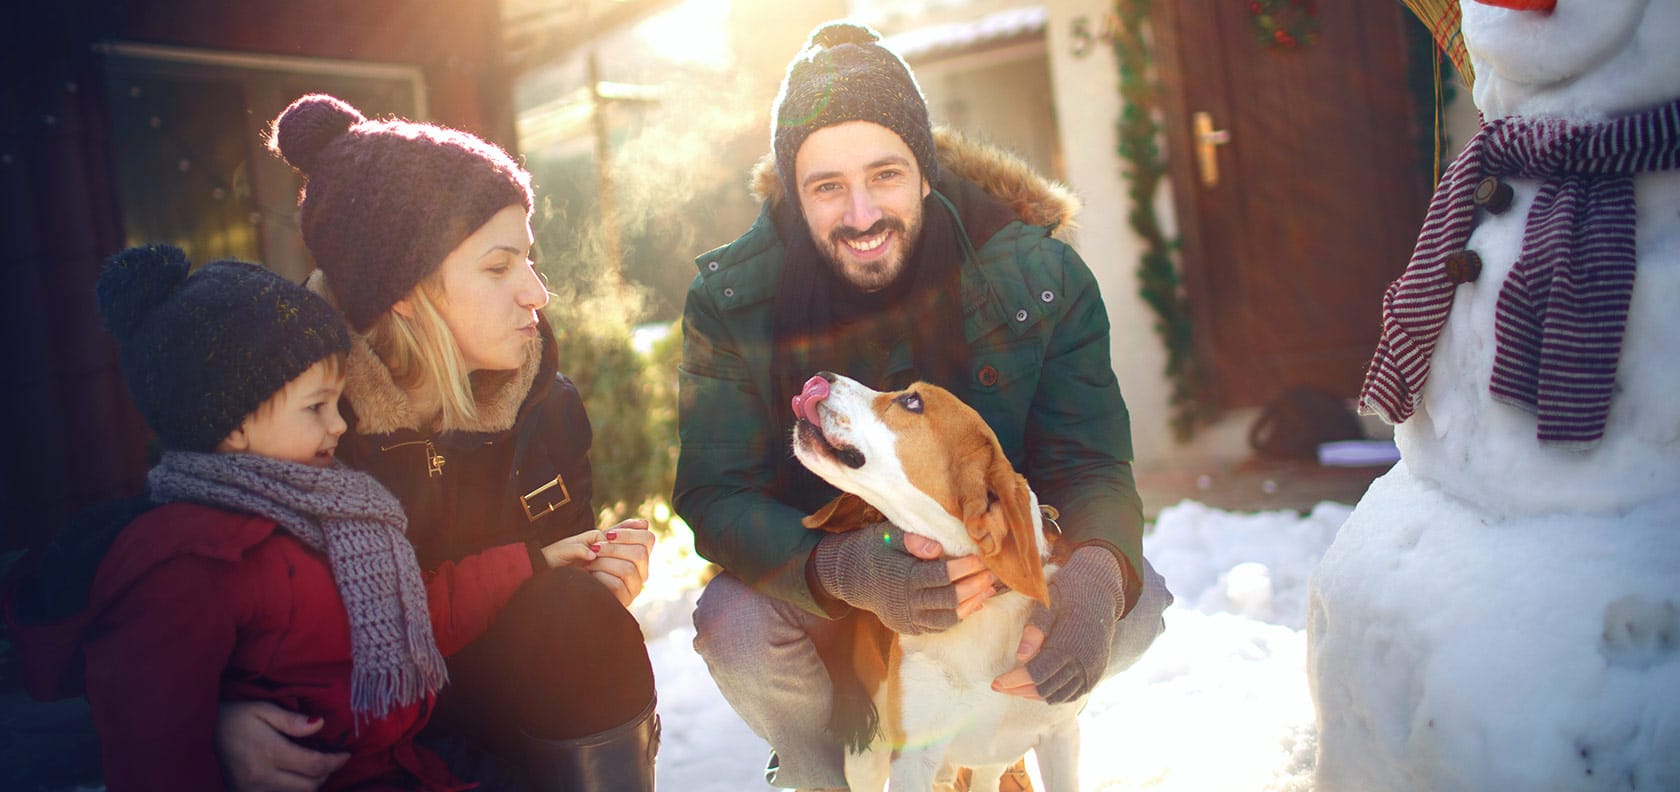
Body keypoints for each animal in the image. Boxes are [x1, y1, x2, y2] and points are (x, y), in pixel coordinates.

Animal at [789, 373, 1081, 792]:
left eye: (912, 402)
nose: (822, 378)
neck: (986, 612)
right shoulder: (913, 757)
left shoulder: (1061, 735)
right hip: (868, 758)